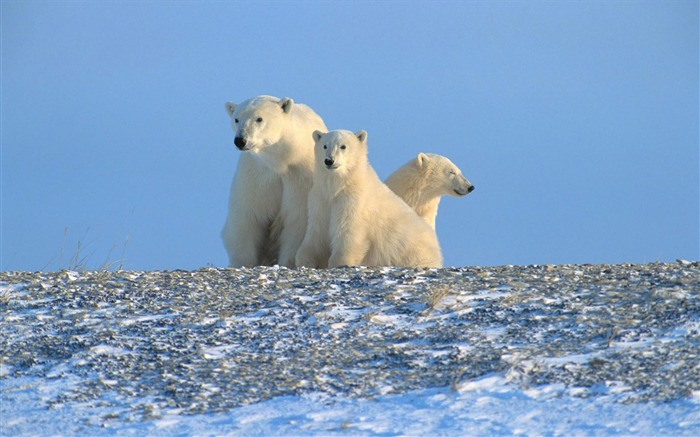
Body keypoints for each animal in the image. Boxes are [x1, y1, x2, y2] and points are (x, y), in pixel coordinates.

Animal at [220, 95, 326, 266]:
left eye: (259, 118)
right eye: (236, 119)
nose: (240, 140)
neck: (281, 161)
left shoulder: (301, 178)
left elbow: (297, 220)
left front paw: (286, 262)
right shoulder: (256, 175)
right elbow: (248, 217)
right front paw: (243, 262)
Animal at [296, 127, 442, 268]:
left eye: (343, 146)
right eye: (325, 146)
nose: (329, 161)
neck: (339, 186)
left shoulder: (354, 201)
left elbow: (348, 231)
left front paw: (340, 262)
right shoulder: (321, 199)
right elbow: (317, 231)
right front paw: (305, 260)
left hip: (413, 252)